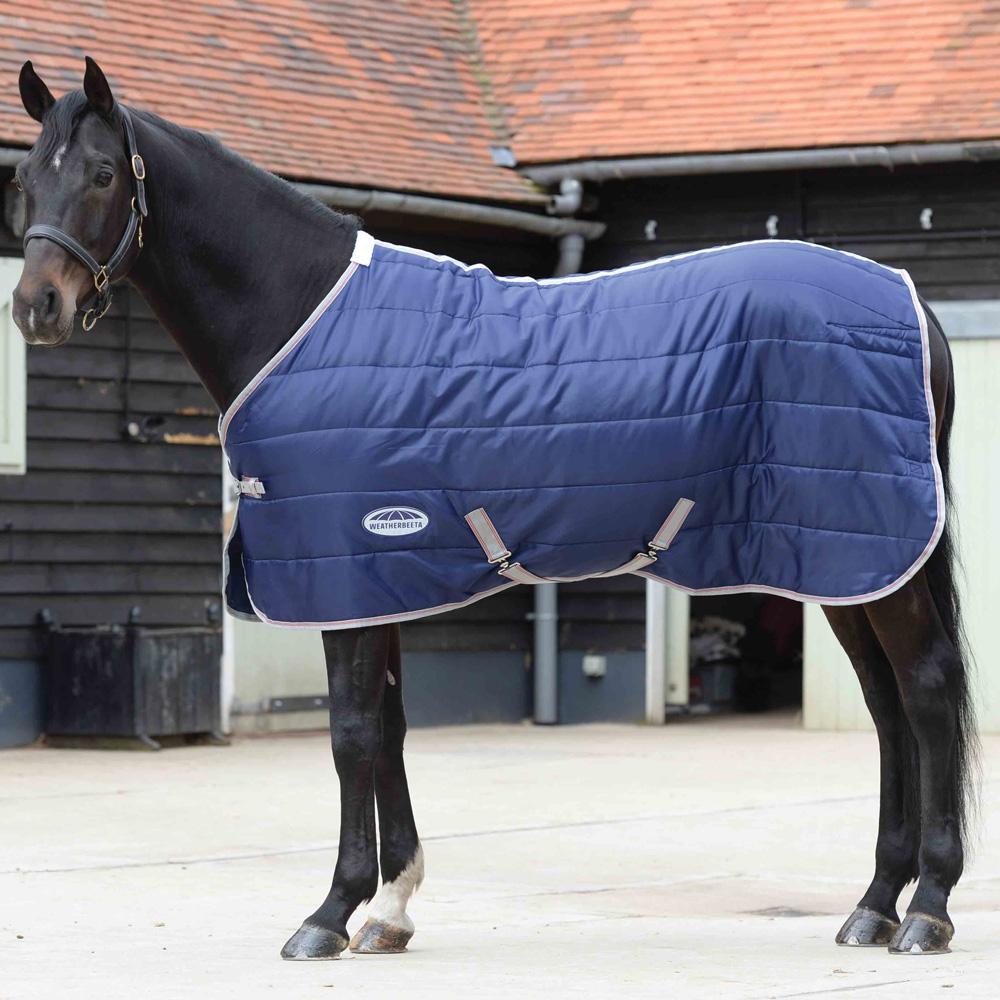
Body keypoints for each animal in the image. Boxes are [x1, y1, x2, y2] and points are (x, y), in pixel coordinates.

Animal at [11, 57, 978, 960]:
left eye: (103, 174)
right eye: (26, 176)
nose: (34, 307)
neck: (300, 316)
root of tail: (912, 304)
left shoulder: (347, 575)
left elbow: (352, 735)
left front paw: (330, 913)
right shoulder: (381, 579)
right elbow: (391, 731)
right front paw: (391, 909)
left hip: (873, 557)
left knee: (926, 691)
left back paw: (927, 909)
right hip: (846, 558)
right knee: (886, 706)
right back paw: (873, 904)